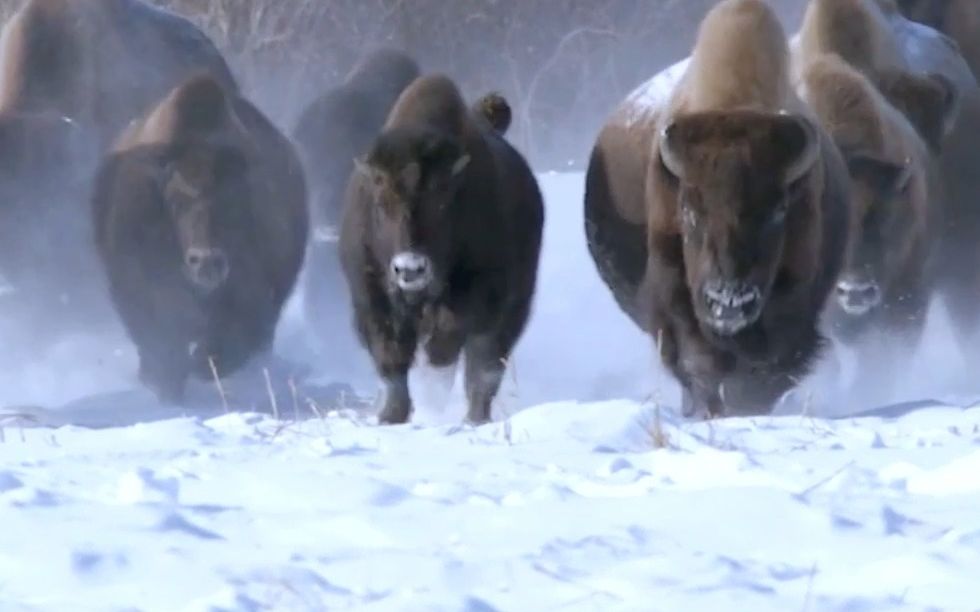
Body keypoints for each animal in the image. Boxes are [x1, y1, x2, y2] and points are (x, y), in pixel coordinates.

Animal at [338, 74, 544, 424]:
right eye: (380, 203)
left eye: (443, 202)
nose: (410, 268)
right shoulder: (371, 296)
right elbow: (390, 357)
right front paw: (392, 416)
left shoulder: (475, 294)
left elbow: (446, 348)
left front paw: (430, 402)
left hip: (510, 311)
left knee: (483, 367)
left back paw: (474, 418)